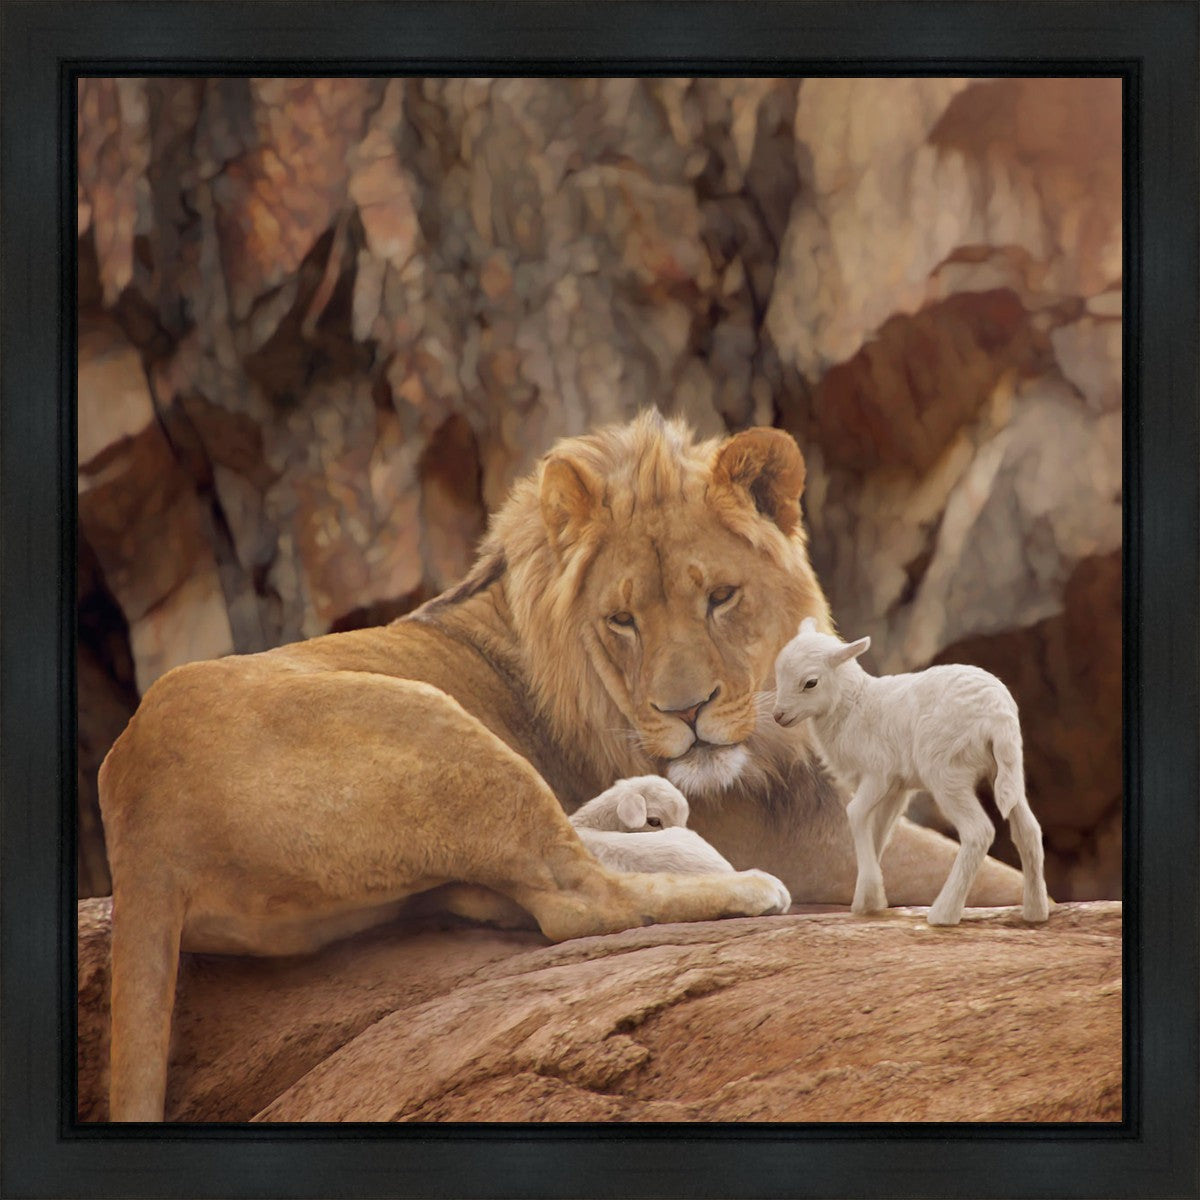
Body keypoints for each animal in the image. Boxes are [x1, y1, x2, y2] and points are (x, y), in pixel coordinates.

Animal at [772, 618, 1050, 927]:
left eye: (810, 682)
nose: (778, 716)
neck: (854, 706)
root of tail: (998, 715)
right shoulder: (896, 787)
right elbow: (879, 830)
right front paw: (869, 899)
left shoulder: (878, 773)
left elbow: (855, 814)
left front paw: (869, 895)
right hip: (1007, 768)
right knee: (1028, 830)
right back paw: (1035, 911)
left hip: (946, 771)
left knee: (978, 832)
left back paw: (943, 913)